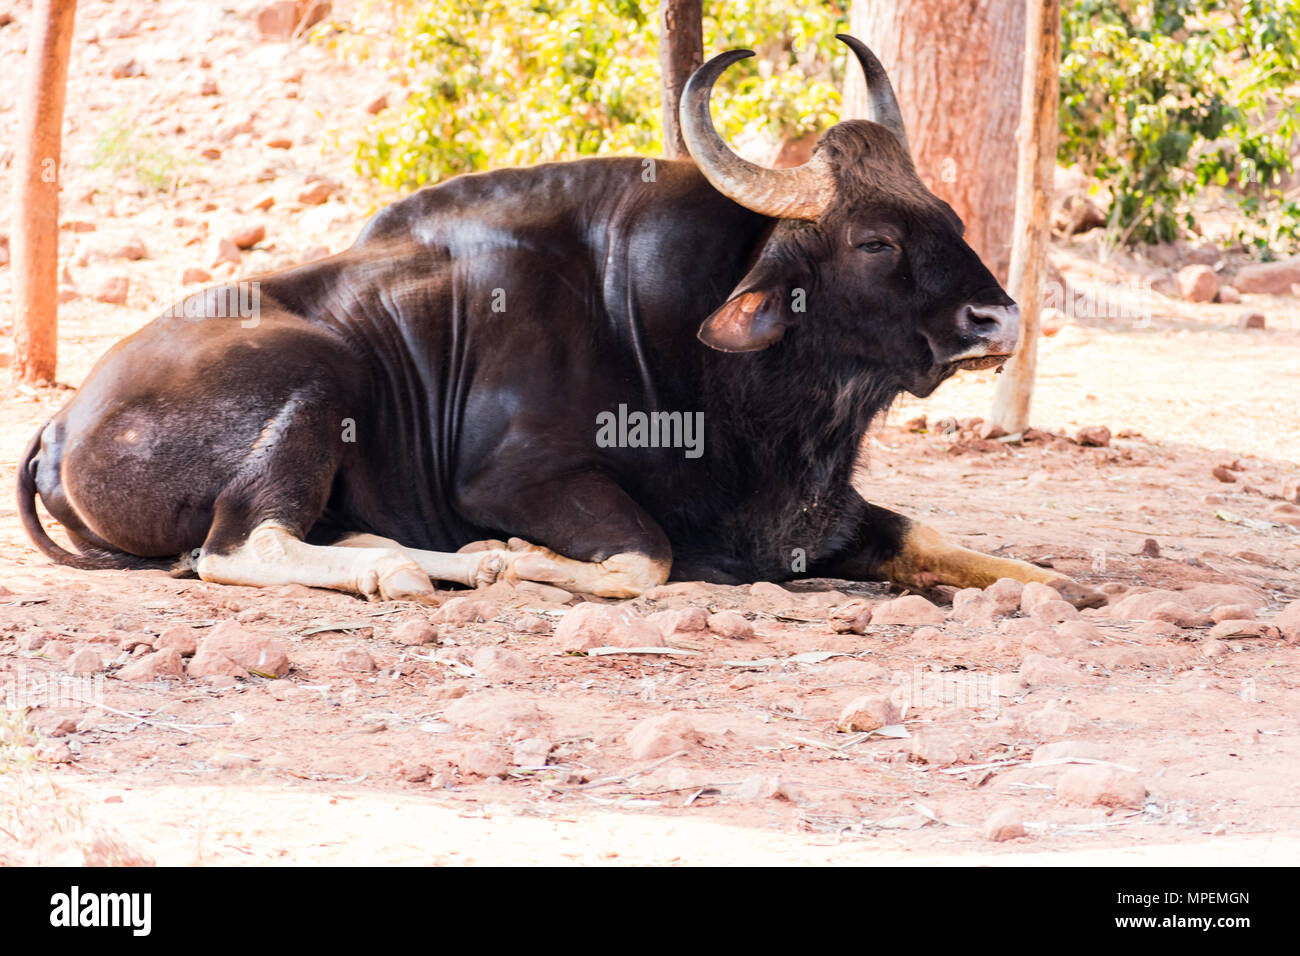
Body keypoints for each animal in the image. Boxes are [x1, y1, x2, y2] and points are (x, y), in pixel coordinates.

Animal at [15, 37, 1102, 608]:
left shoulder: (825, 515)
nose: (997, 316)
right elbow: (643, 559)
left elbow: (950, 542)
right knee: (239, 546)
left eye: (948, 217)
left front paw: (1066, 585)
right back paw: (420, 568)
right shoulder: (522, 480)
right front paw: (522, 560)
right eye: (874, 240)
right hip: (315, 378)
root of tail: (62, 425)